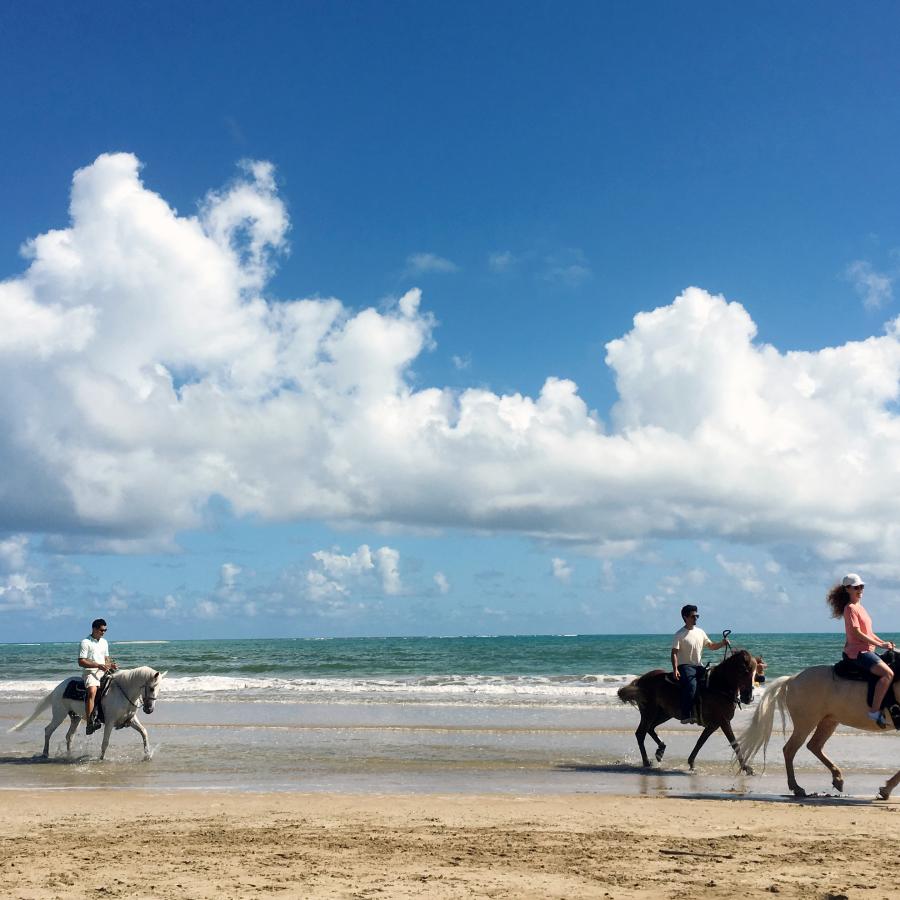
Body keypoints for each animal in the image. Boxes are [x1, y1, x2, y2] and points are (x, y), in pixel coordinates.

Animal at [9, 668, 167, 760]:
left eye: (159, 689)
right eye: (151, 688)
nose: (149, 709)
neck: (123, 692)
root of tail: (58, 687)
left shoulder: (131, 720)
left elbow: (144, 732)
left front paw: (147, 755)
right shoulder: (109, 722)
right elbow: (105, 742)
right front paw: (101, 759)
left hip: (75, 718)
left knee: (69, 736)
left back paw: (69, 755)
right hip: (59, 715)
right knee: (48, 730)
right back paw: (45, 753)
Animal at [620, 648, 760, 772]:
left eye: (755, 673)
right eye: (745, 670)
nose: (749, 698)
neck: (719, 686)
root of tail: (640, 680)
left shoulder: (713, 724)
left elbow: (700, 742)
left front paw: (691, 762)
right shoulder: (723, 722)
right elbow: (734, 743)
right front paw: (746, 767)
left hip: (664, 714)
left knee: (650, 729)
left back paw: (660, 750)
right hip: (649, 712)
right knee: (640, 733)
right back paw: (646, 761)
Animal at [740, 664, 900, 800]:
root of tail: (792, 679)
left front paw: (886, 790)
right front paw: (886, 789)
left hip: (829, 721)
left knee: (814, 745)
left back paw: (837, 778)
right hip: (806, 724)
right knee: (790, 749)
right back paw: (797, 787)